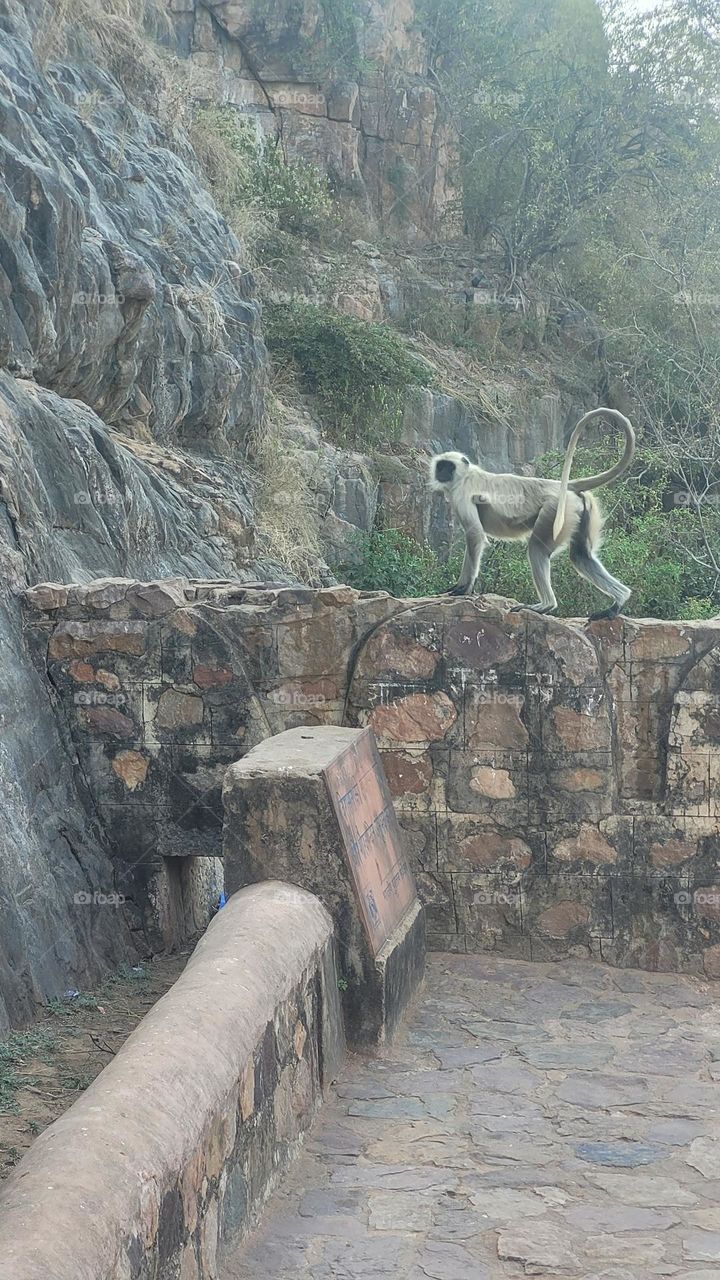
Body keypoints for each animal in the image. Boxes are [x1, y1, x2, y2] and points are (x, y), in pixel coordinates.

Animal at [429, 408, 635, 620]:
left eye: (449, 466)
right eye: (441, 465)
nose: (442, 472)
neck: (466, 475)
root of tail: (560, 485)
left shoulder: (462, 493)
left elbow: (475, 535)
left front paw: (464, 587)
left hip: (554, 511)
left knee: (537, 547)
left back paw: (545, 606)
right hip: (577, 511)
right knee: (580, 555)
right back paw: (618, 603)